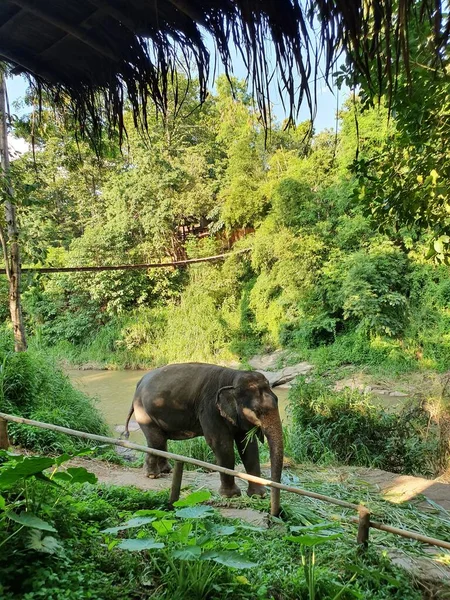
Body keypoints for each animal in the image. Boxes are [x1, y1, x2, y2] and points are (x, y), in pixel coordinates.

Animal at [123, 364, 284, 500]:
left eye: (277, 400)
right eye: (257, 411)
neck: (233, 376)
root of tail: (139, 383)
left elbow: (248, 446)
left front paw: (258, 495)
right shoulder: (209, 408)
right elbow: (221, 444)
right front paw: (231, 496)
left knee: (160, 440)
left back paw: (166, 471)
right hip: (143, 410)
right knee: (155, 440)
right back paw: (152, 475)